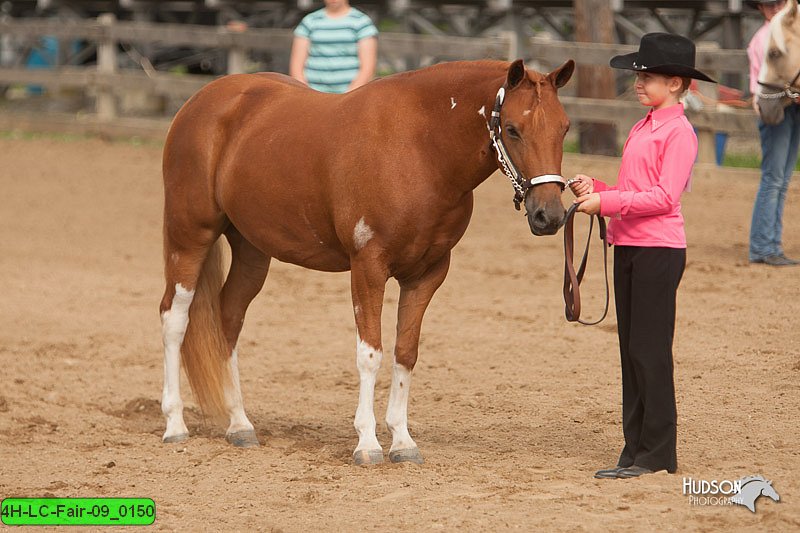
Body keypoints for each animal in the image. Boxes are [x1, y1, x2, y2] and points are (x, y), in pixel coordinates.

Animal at [161, 58, 576, 464]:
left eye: (564, 128)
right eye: (512, 129)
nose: (549, 216)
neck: (420, 149)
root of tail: (203, 100)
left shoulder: (427, 275)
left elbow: (405, 353)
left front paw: (403, 441)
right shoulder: (367, 269)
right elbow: (370, 353)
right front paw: (368, 443)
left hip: (251, 249)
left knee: (228, 318)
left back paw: (240, 425)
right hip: (190, 237)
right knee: (174, 318)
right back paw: (175, 423)